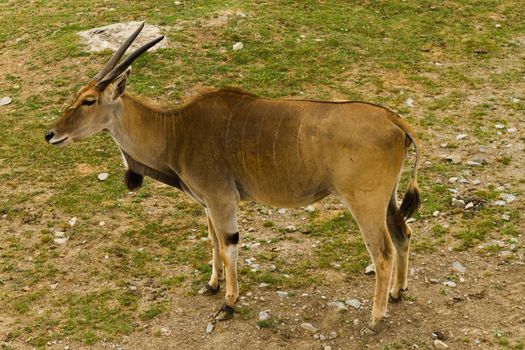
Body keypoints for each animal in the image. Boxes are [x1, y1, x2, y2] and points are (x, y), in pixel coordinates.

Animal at [45, 22, 422, 334]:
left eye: (88, 100)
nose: (51, 134)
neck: (176, 131)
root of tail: (395, 121)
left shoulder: (221, 200)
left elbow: (228, 246)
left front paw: (228, 303)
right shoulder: (208, 204)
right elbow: (213, 240)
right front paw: (212, 285)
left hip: (365, 204)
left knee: (383, 252)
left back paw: (375, 319)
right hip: (386, 200)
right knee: (403, 233)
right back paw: (398, 293)